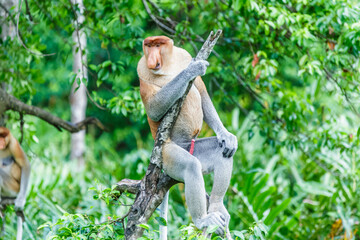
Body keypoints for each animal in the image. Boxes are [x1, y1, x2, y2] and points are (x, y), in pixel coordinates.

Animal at [139, 36, 238, 238]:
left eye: (158, 45)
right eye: (149, 46)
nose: (151, 58)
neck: (167, 66)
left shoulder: (183, 54)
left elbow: (201, 90)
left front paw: (226, 135)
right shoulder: (141, 69)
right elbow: (153, 108)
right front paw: (192, 69)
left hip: (195, 148)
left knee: (221, 152)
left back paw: (217, 207)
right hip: (167, 154)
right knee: (191, 166)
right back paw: (202, 220)